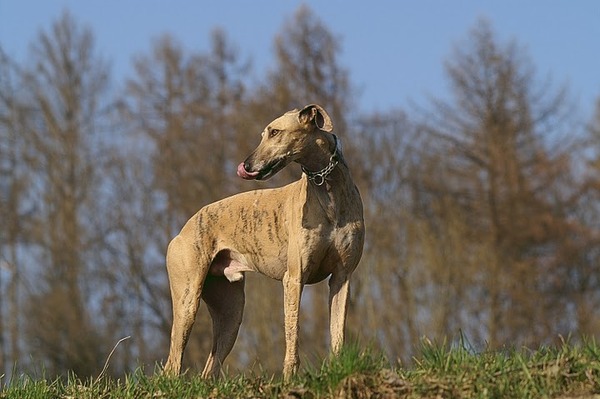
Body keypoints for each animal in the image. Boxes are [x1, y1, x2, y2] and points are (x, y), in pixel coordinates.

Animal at [162, 104, 364, 380]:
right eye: (264, 133)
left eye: (275, 132)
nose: (246, 165)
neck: (328, 190)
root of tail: (181, 232)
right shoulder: (294, 279)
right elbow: (293, 335)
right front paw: (290, 378)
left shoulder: (342, 277)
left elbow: (337, 334)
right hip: (188, 300)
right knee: (172, 363)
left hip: (231, 312)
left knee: (209, 367)